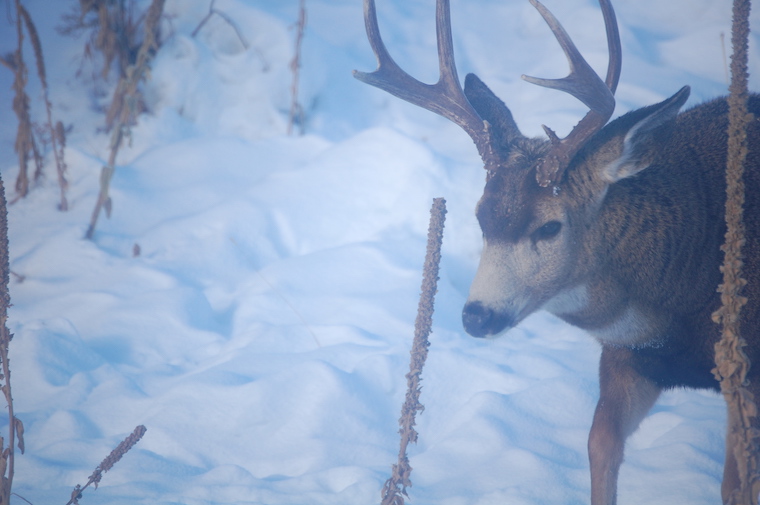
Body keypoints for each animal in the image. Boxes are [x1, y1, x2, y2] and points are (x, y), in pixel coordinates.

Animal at [354, 0, 760, 503]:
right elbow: (599, 445)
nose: (477, 316)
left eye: (550, 226)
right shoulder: (628, 356)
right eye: (480, 217)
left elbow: (734, 484)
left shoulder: (745, 373)